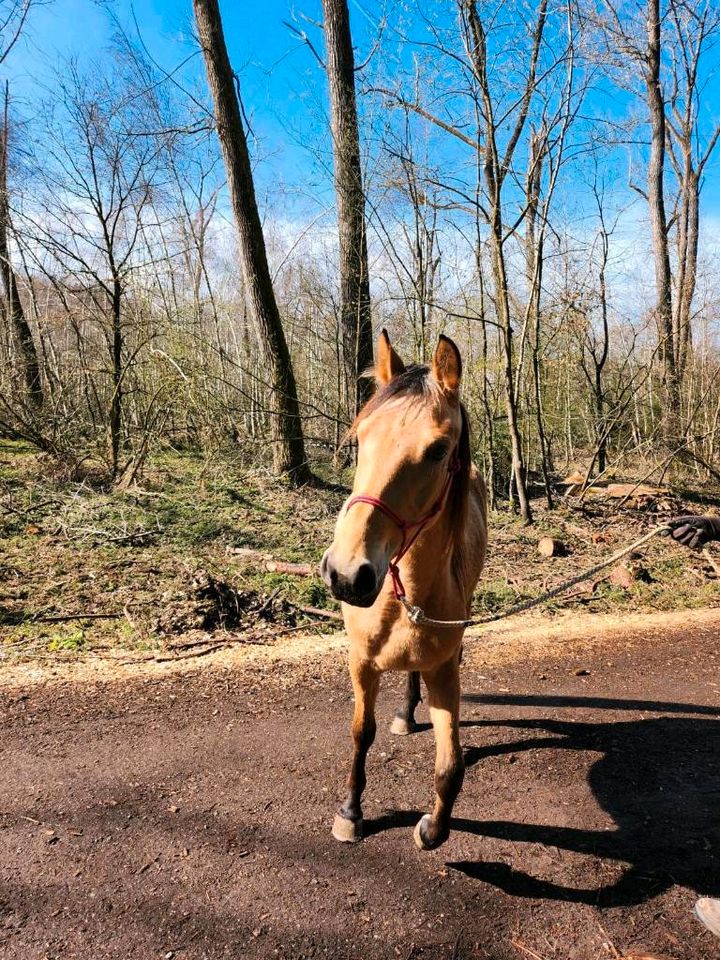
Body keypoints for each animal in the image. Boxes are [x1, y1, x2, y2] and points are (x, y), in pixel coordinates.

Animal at [322, 328, 486, 848]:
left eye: (438, 450)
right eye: (360, 438)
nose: (347, 574)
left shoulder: (443, 672)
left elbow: (451, 765)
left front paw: (433, 827)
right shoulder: (360, 662)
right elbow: (361, 732)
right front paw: (350, 812)